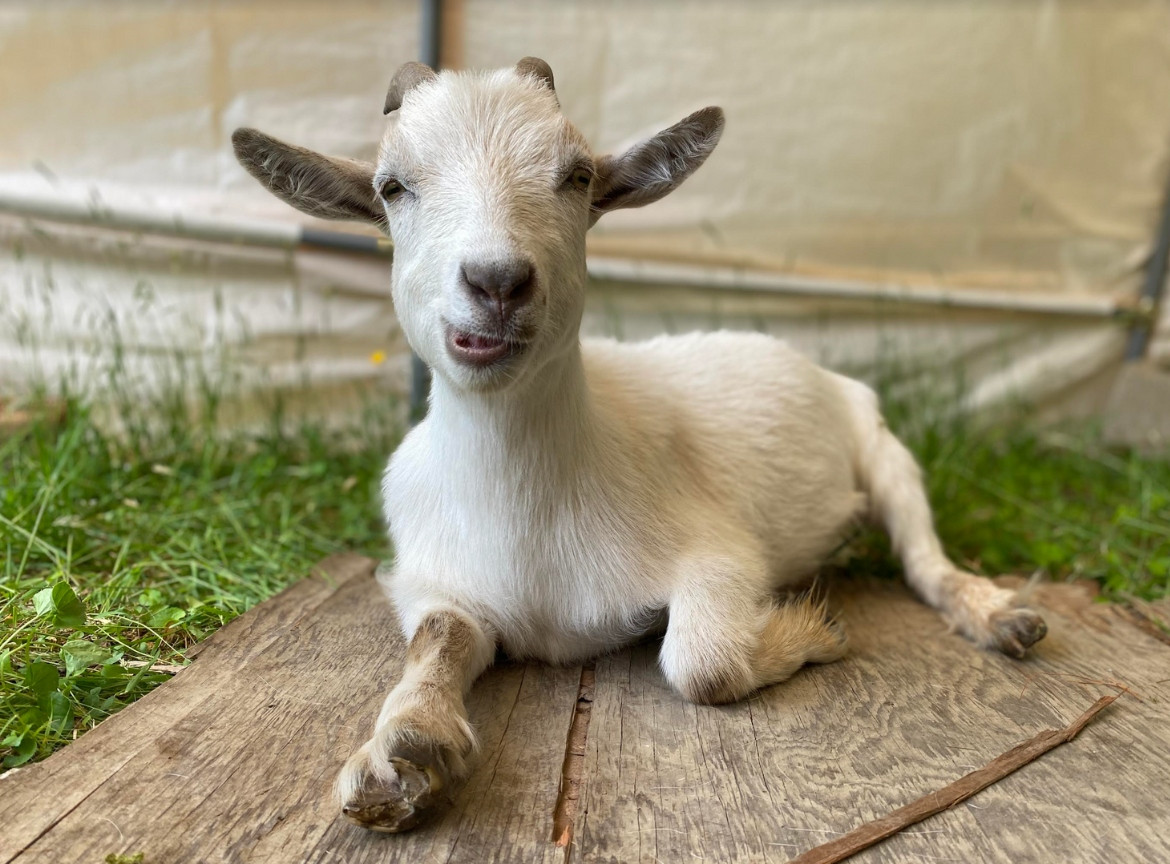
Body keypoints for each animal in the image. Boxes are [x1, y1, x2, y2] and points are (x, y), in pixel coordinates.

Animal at [231, 57, 1047, 833]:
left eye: (578, 176)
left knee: (925, 559)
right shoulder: (432, 582)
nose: (497, 282)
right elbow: (436, 637)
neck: (528, 509)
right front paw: (402, 753)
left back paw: (1001, 617)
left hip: (885, 451)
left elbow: (702, 662)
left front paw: (814, 627)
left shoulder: (720, 556)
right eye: (393, 186)